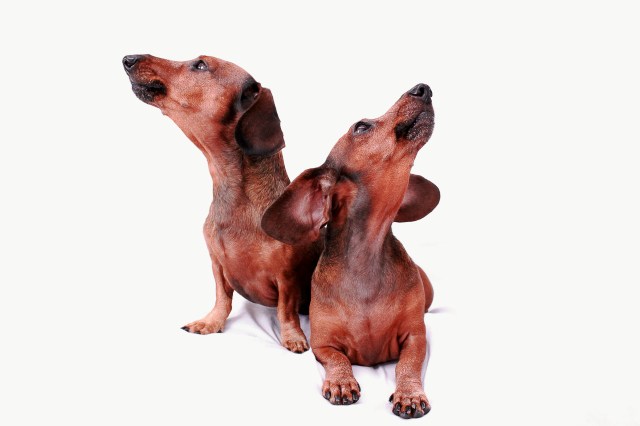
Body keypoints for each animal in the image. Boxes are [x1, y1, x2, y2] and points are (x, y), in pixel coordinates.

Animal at [123, 54, 321, 353]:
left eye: (201, 65)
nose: (128, 59)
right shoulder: (217, 263)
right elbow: (222, 298)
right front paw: (211, 322)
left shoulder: (287, 277)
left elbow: (285, 310)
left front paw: (293, 336)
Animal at [262, 83, 439, 417]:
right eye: (361, 126)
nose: (423, 88)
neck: (365, 257)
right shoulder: (322, 344)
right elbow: (338, 359)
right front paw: (342, 381)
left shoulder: (416, 337)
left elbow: (408, 366)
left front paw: (409, 394)